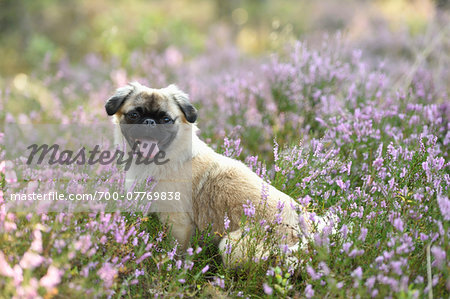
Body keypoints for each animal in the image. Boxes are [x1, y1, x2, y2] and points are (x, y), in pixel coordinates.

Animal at [105, 82, 312, 268]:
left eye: (166, 119)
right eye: (134, 115)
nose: (149, 122)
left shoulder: (177, 223)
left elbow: (175, 250)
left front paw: (172, 268)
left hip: (230, 246)